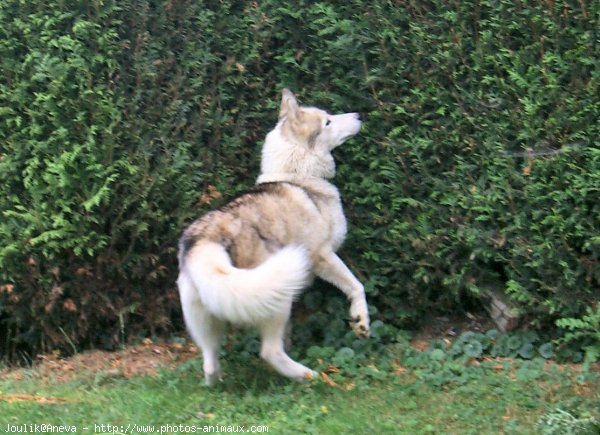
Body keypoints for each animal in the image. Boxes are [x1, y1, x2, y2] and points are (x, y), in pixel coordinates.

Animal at [176, 88, 368, 384]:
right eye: (327, 122)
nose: (359, 114)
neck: (296, 174)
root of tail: (207, 238)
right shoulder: (323, 256)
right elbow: (357, 286)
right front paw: (361, 321)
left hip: (206, 314)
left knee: (209, 359)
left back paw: (217, 381)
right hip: (276, 295)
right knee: (269, 352)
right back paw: (307, 375)